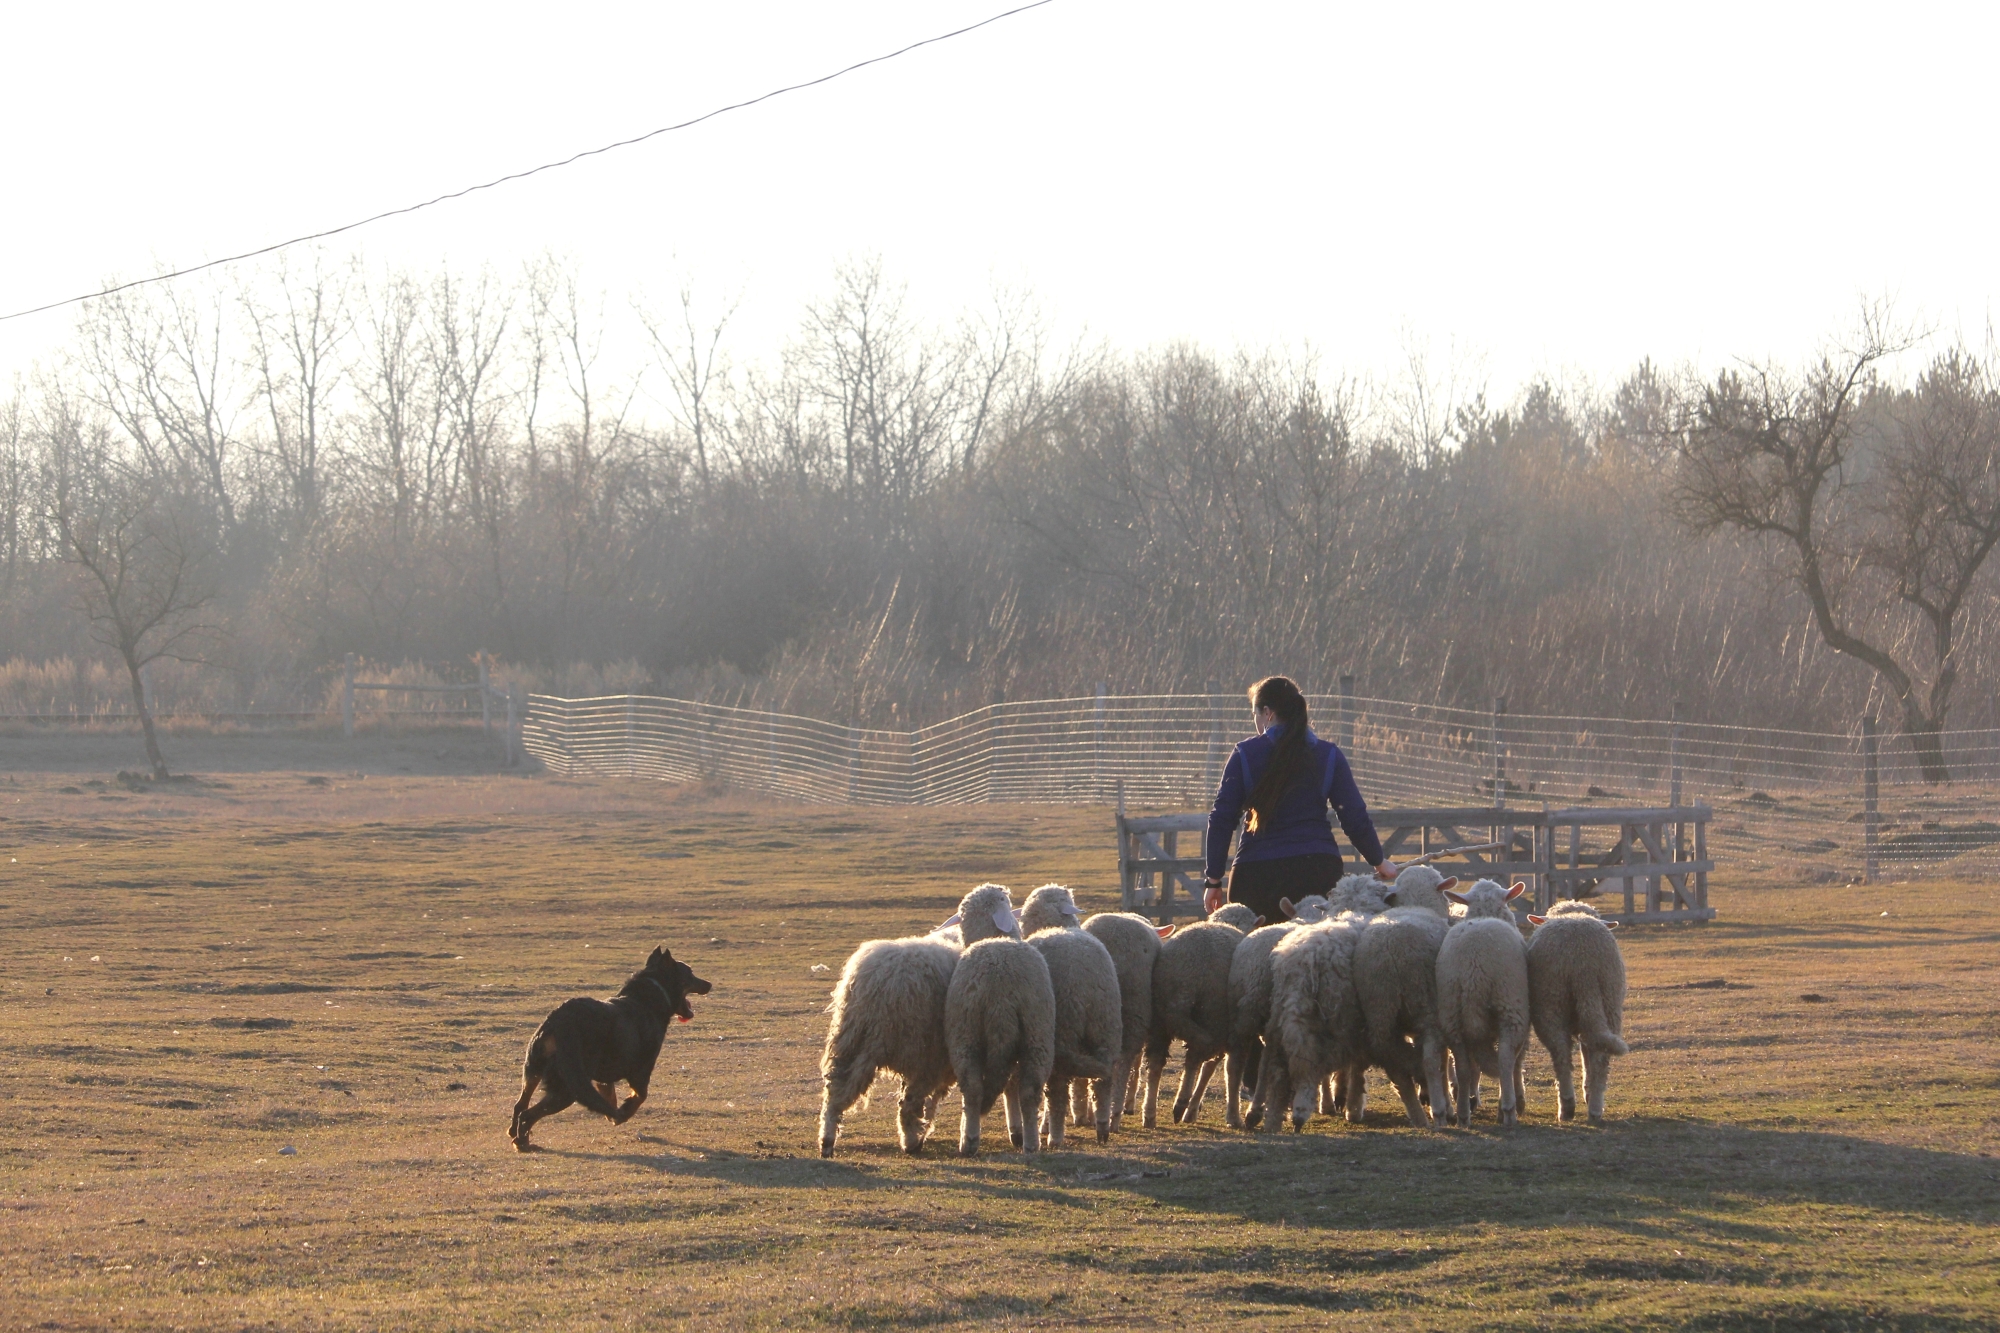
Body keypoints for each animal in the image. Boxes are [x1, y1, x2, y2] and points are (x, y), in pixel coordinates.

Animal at [508, 940, 712, 1144]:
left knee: (520, 1104)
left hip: (533, 1070)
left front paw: (612, 1113)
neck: (649, 997)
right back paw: (522, 1142)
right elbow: (640, 1096)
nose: (709, 983)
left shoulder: (604, 1078)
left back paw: (513, 1132)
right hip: (567, 1085)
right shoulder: (641, 1071)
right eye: (690, 973)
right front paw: (623, 1112)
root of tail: (558, 1022)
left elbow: (610, 1097)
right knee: (528, 1114)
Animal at [940, 876, 1056, 1144]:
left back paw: (970, 1139)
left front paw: (1015, 1130)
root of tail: (1001, 989)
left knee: (973, 1087)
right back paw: (1030, 1143)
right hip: (1037, 1031)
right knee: (1029, 1089)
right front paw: (1017, 1130)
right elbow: (1010, 1087)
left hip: (965, 1032)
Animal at [1032, 880, 1128, 1144]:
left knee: (1056, 1092)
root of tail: (1085, 980)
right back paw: (1103, 1128)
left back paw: (1054, 1137)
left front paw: (1045, 1126)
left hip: (1062, 1033)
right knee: (1103, 1082)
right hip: (1106, 1027)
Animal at [1440, 876, 1528, 1128]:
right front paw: (1519, 1100)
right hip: (1511, 1007)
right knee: (1506, 1059)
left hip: (1451, 1013)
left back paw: (1463, 1114)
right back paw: (1507, 1110)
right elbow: (1517, 1060)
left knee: (1462, 1065)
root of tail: (1474, 969)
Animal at [1528, 892, 1624, 1120]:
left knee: (1560, 1053)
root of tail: (1583, 962)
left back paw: (1566, 1107)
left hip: (1550, 1003)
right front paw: (1587, 1091)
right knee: (1601, 1055)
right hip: (1609, 999)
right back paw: (1595, 1107)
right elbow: (1587, 1051)